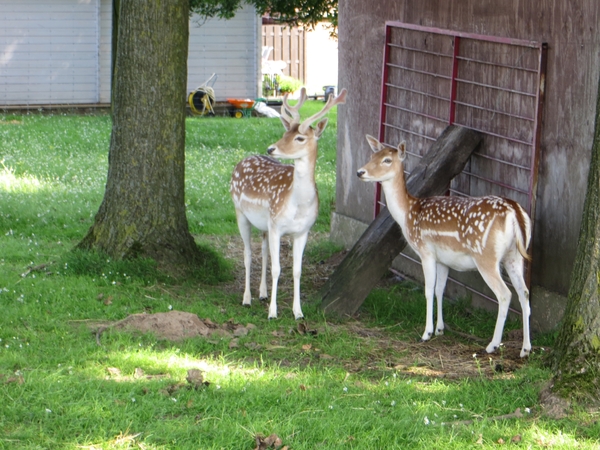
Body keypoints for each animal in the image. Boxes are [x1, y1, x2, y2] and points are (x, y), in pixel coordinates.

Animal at [230, 88, 346, 320]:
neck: (298, 205)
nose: (271, 148)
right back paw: (247, 298)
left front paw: (298, 312)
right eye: (285, 134)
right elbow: (277, 269)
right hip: (240, 212)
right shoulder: (277, 226)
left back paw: (262, 293)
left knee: (263, 251)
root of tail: (241, 161)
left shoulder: (302, 231)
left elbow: (296, 270)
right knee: (247, 253)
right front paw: (273, 313)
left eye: (300, 138)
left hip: (264, 224)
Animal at [358, 135, 532, 356]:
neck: (408, 214)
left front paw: (426, 333)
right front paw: (440, 329)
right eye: (373, 156)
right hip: (515, 255)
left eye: (387, 160)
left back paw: (492, 345)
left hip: (486, 255)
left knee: (505, 294)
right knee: (524, 292)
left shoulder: (425, 251)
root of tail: (515, 211)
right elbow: (440, 289)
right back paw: (526, 349)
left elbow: (428, 290)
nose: (360, 172)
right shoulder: (443, 260)